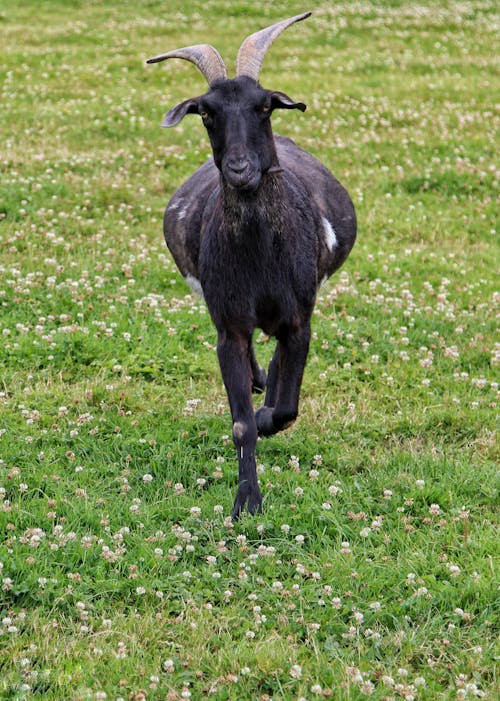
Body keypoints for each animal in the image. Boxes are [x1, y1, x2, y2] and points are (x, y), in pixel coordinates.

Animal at [146, 9, 358, 516]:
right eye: (206, 112)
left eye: (264, 106)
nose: (240, 170)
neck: (262, 259)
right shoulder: (229, 325)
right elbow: (240, 422)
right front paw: (247, 499)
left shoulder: (300, 319)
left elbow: (287, 409)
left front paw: (266, 419)